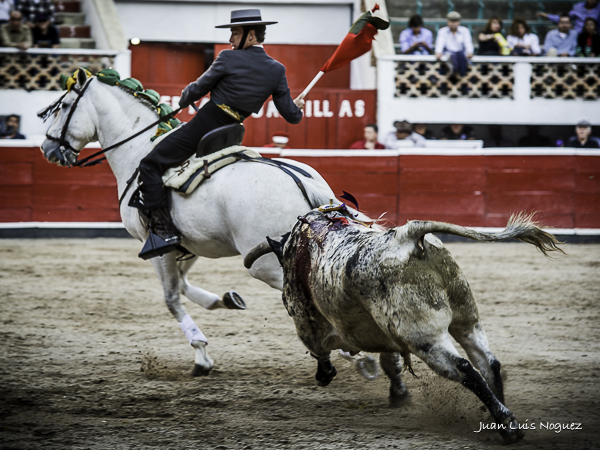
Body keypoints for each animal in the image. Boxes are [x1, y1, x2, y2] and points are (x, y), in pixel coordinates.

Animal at [41, 67, 342, 376]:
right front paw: (226, 300)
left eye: (63, 106)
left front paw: (201, 355)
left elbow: (171, 297)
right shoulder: (191, 244)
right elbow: (183, 285)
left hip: (267, 265)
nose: (47, 148)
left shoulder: (156, 247)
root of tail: (303, 184)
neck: (138, 148)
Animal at [245, 207, 564, 442]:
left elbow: (319, 349)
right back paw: (494, 417)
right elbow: (390, 360)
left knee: (465, 369)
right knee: (488, 363)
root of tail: (407, 238)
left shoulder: (305, 320)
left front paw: (325, 374)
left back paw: (508, 426)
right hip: (467, 318)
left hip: (424, 337)